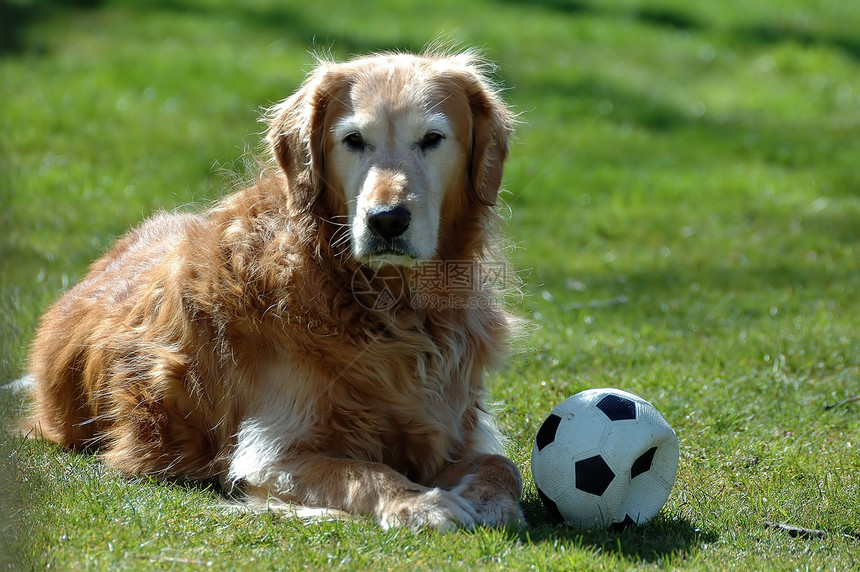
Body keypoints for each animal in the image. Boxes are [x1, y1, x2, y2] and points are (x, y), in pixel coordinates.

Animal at [26, 50, 524, 532]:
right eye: (353, 140)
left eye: (432, 139)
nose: (386, 220)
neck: (385, 307)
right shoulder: (272, 454)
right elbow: (364, 472)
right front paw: (420, 504)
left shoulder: (453, 424)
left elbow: (503, 465)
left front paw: (491, 501)